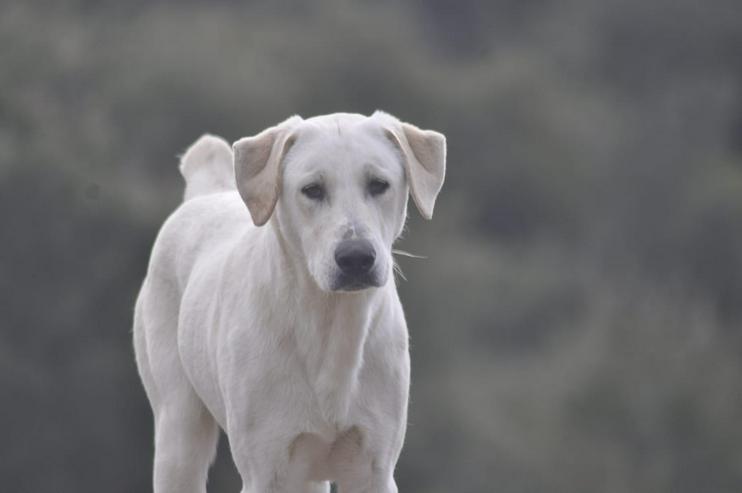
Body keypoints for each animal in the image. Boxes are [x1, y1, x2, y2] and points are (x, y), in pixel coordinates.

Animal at [133, 112, 444, 492]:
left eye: (378, 184)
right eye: (312, 190)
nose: (356, 257)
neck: (330, 323)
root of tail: (205, 193)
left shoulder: (374, 469)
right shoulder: (266, 470)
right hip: (179, 432)